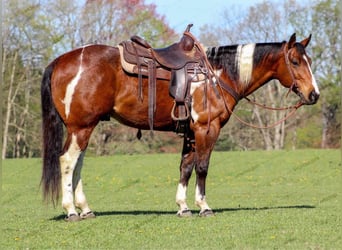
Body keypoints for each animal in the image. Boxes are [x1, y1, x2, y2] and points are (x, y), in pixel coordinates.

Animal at [41, 29, 320, 223]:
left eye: (310, 60)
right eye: (295, 62)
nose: (314, 94)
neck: (217, 75)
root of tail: (60, 61)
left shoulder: (190, 133)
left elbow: (186, 167)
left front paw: (183, 207)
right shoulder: (207, 128)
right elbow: (203, 167)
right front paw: (204, 207)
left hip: (84, 128)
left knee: (77, 164)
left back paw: (85, 209)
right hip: (81, 127)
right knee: (68, 161)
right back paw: (71, 211)